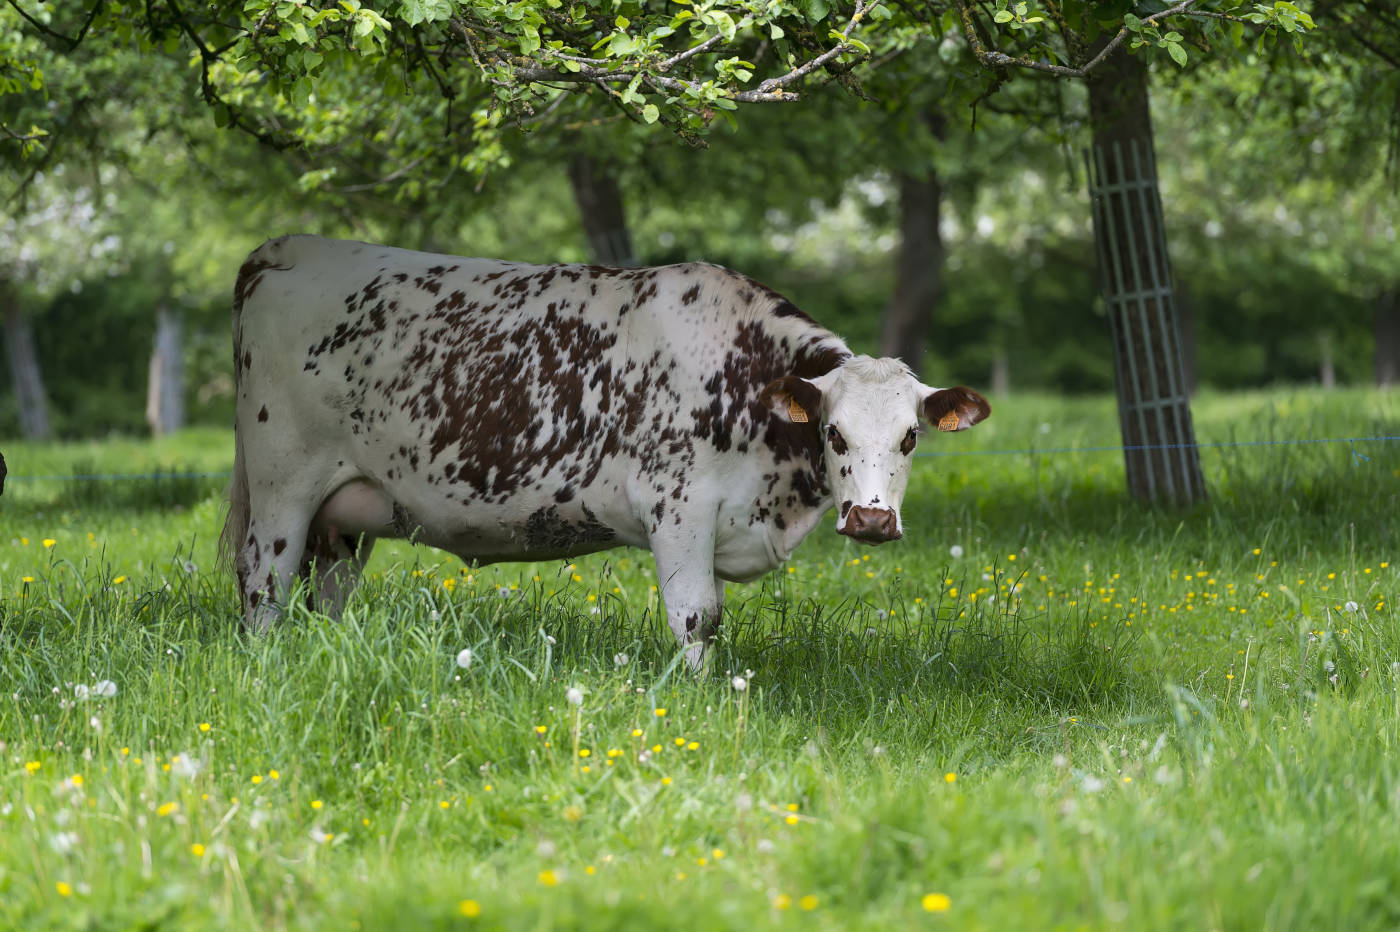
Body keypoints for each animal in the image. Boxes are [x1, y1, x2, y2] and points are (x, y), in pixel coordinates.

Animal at [220, 235, 990, 666]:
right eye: (834, 433)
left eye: (911, 436)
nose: (872, 519)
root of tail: (294, 247)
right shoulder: (679, 510)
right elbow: (696, 618)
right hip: (283, 487)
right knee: (264, 583)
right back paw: (263, 669)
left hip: (347, 514)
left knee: (327, 596)